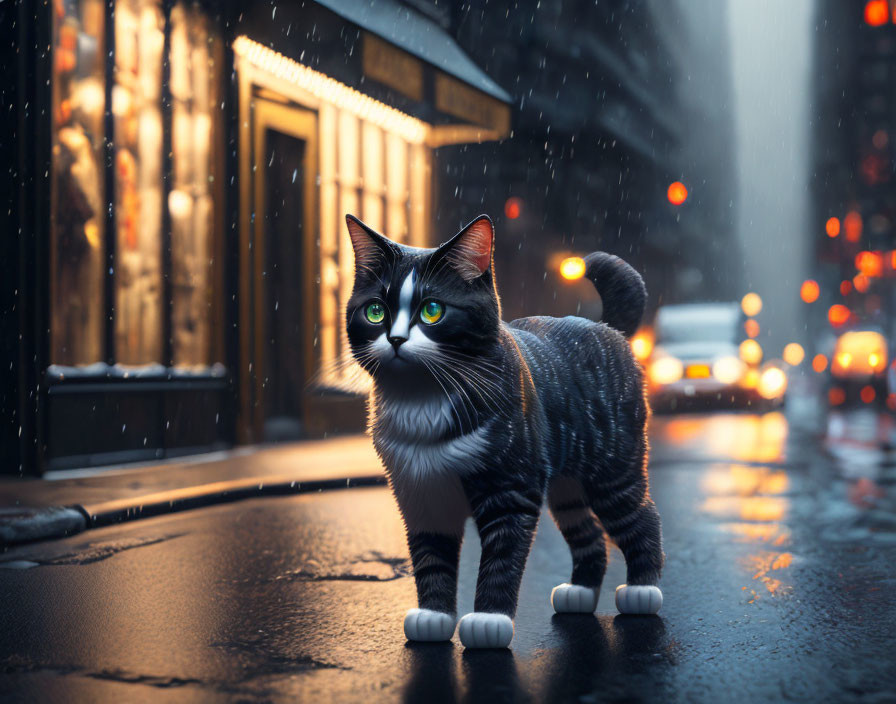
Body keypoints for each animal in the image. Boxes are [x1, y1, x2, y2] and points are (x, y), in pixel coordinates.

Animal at [344, 214, 664, 648]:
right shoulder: (420, 492)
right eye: (375, 311)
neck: (423, 401)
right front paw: (433, 615)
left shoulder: (510, 492)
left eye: (432, 310)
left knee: (640, 516)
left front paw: (488, 619)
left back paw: (643, 590)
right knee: (589, 533)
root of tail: (606, 326)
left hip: (611, 468)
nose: (395, 339)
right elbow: (431, 558)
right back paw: (580, 591)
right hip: (566, 484)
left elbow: (500, 560)